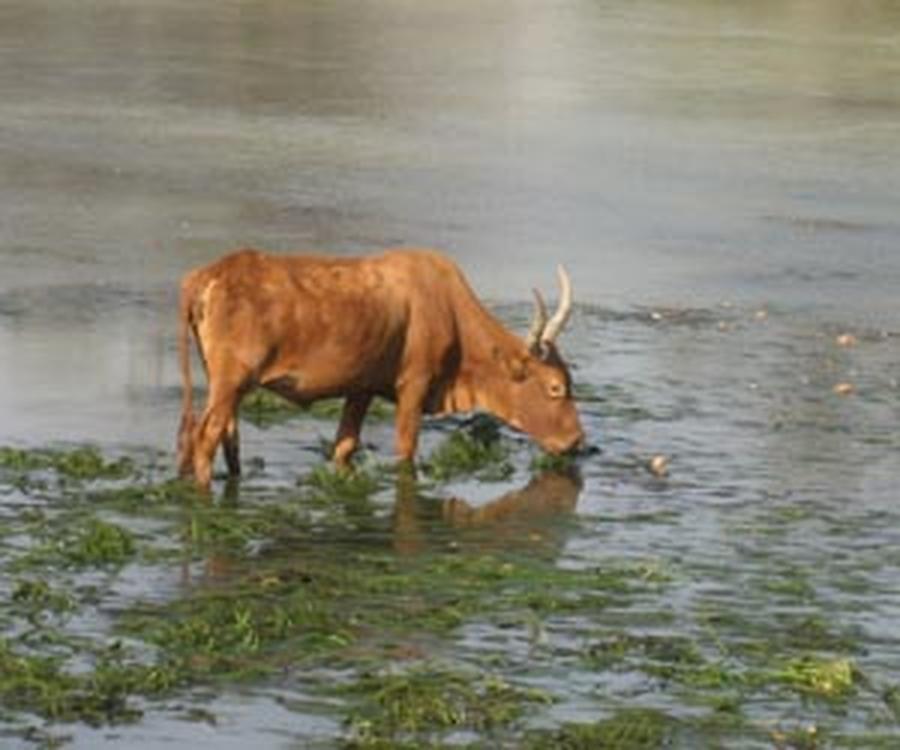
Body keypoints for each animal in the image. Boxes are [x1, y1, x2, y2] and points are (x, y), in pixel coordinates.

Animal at [176, 250, 584, 490]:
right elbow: (405, 448)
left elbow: (344, 445)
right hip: (231, 381)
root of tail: (209, 274)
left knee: (224, 436)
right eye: (555, 387)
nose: (577, 440)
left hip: (224, 383)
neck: (447, 307)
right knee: (204, 436)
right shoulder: (414, 385)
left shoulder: (362, 387)